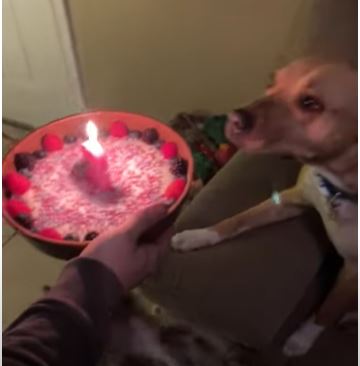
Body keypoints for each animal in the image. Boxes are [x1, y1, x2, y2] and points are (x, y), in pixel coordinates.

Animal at [172, 58, 358, 356]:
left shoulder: (353, 271)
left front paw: (301, 339)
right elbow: (237, 220)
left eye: (311, 103)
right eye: (272, 82)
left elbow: (328, 308)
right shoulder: (289, 198)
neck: (338, 185)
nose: (234, 118)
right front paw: (197, 236)